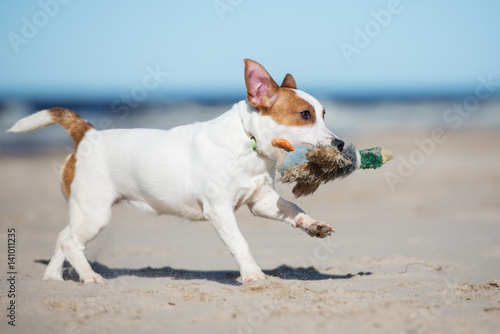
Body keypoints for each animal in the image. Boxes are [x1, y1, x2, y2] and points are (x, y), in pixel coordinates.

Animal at [8, 59, 344, 284]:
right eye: (305, 115)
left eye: (324, 114)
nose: (339, 143)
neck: (247, 145)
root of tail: (87, 134)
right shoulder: (219, 210)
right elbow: (240, 243)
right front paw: (252, 275)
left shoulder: (261, 202)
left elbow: (295, 209)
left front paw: (313, 226)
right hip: (95, 212)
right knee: (70, 242)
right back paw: (89, 277)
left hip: (84, 211)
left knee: (62, 236)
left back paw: (53, 276)